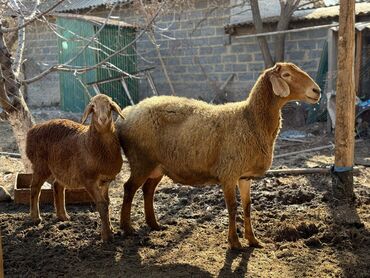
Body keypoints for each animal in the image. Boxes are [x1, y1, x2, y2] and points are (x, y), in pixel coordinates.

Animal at [26, 93, 125, 241]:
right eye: (93, 107)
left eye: (109, 105)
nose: (103, 119)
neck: (91, 143)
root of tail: (32, 129)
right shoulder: (89, 180)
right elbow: (101, 205)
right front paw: (107, 236)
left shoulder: (106, 180)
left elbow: (107, 202)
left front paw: (110, 229)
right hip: (40, 164)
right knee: (34, 188)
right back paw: (35, 218)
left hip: (61, 167)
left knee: (57, 185)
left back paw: (63, 216)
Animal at [115, 62, 320, 249]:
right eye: (286, 75)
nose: (317, 90)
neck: (250, 120)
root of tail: (127, 112)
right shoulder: (228, 173)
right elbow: (232, 208)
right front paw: (235, 242)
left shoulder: (244, 176)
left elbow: (247, 206)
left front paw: (253, 240)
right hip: (141, 160)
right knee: (129, 188)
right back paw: (127, 228)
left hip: (158, 166)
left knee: (148, 190)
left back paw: (154, 224)